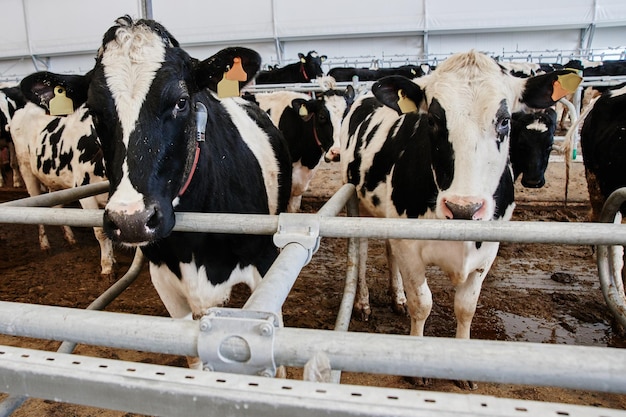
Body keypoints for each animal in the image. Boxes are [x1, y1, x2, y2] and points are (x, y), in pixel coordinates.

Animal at [8, 99, 116, 278]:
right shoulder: (84, 191)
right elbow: (100, 231)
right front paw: (107, 267)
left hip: (53, 181)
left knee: (56, 207)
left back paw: (70, 238)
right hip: (26, 168)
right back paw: (45, 245)